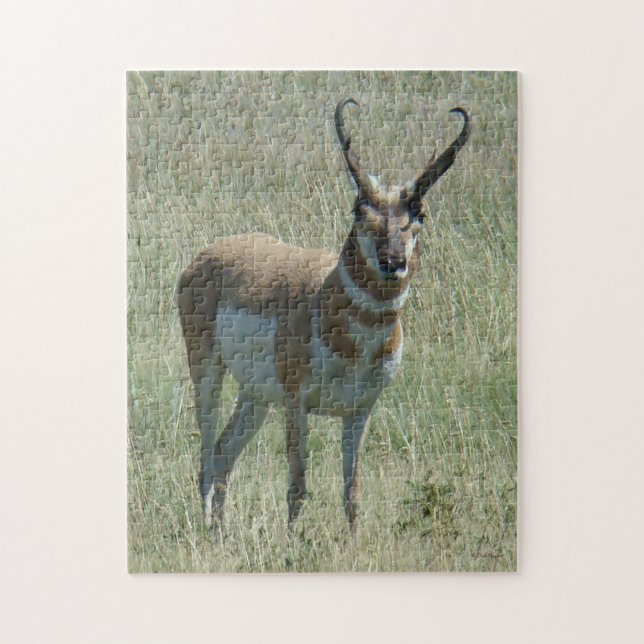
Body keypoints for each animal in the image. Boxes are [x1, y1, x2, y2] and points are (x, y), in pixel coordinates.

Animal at [177, 98, 470, 534]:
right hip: (208, 372)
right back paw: (207, 532)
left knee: (223, 452)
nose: (393, 262)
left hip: (256, 396)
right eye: (359, 210)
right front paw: (292, 544)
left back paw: (221, 532)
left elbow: (353, 493)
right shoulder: (297, 404)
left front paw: (351, 543)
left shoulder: (359, 411)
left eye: (419, 213)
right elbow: (298, 486)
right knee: (206, 458)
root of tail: (208, 254)